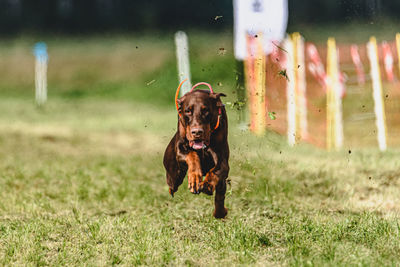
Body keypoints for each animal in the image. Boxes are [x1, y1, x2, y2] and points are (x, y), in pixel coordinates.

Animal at [163, 89, 231, 219]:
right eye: (188, 111)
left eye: (206, 110)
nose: (197, 132)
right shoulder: (180, 148)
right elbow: (192, 155)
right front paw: (194, 178)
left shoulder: (221, 157)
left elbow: (217, 169)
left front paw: (207, 184)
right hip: (174, 175)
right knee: (172, 185)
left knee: (220, 193)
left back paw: (220, 212)